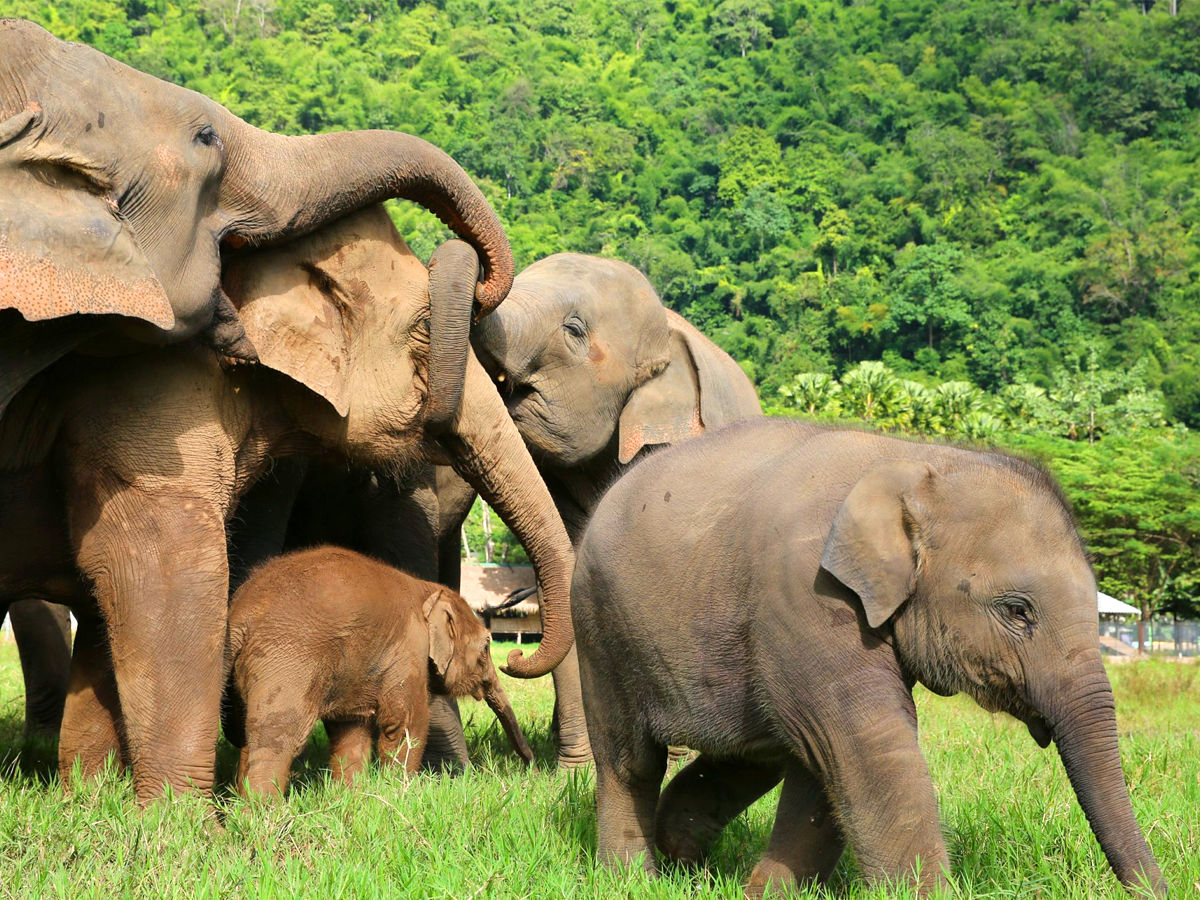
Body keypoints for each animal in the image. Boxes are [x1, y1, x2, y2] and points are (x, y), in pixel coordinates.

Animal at [225, 547, 535, 792]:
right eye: (486, 647)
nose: (531, 766)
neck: (427, 590)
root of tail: (242, 612)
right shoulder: (409, 648)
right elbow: (407, 722)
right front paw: (398, 793)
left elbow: (351, 729)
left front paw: (351, 797)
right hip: (287, 660)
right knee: (279, 736)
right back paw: (262, 817)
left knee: (248, 736)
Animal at [571, 422, 1161, 900]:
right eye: (1018, 610)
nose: (1161, 889)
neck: (914, 459)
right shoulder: (808, 592)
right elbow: (864, 743)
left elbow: (826, 765)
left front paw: (768, 895)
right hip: (599, 629)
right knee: (631, 761)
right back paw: (634, 880)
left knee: (754, 754)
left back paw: (684, 862)